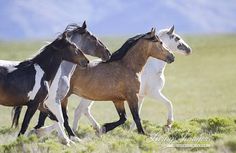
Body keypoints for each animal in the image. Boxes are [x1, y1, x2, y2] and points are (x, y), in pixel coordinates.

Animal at [30, 28, 174, 137]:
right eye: (160, 42)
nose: (172, 57)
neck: (127, 66)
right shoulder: (132, 97)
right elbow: (136, 117)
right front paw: (143, 133)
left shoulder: (118, 100)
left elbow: (123, 118)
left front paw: (103, 128)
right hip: (63, 97)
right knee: (55, 116)